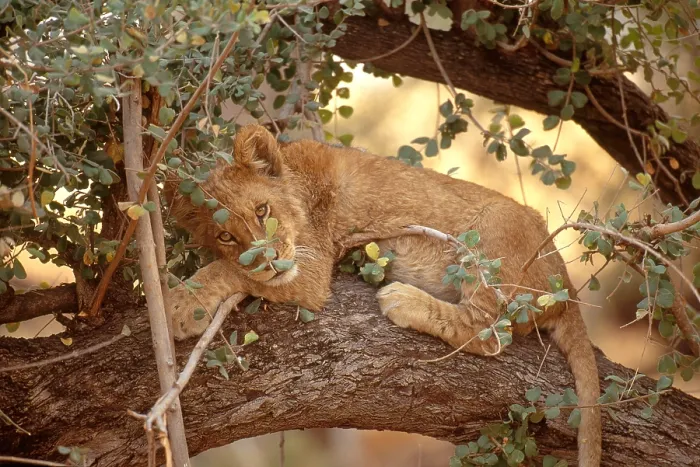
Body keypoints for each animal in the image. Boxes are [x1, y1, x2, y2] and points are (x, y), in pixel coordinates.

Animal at [166, 124, 602, 466]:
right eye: (225, 236)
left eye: (262, 211)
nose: (270, 262)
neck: (295, 180)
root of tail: (567, 288)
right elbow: (235, 266)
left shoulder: (310, 267)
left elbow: (231, 270)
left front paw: (179, 305)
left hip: (495, 228)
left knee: (489, 331)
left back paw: (402, 299)